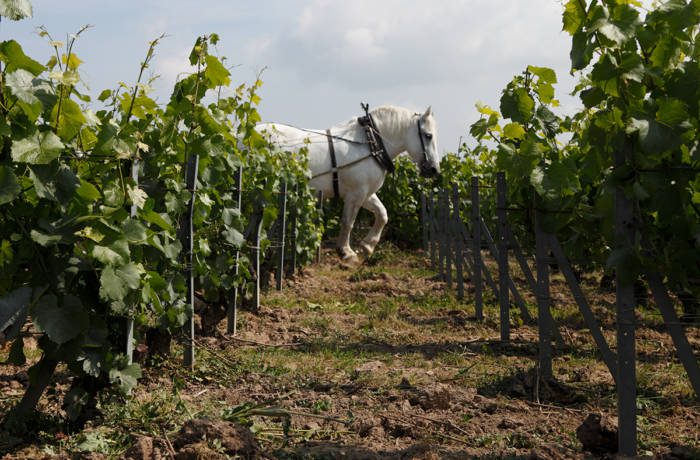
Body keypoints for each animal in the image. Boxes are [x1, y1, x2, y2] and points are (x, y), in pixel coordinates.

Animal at [258, 105, 440, 262]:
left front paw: (367, 246)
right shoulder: (356, 194)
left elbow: (382, 214)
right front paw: (346, 251)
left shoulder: (366, 193)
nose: (434, 169)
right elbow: (348, 222)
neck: (370, 145)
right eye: (428, 135)